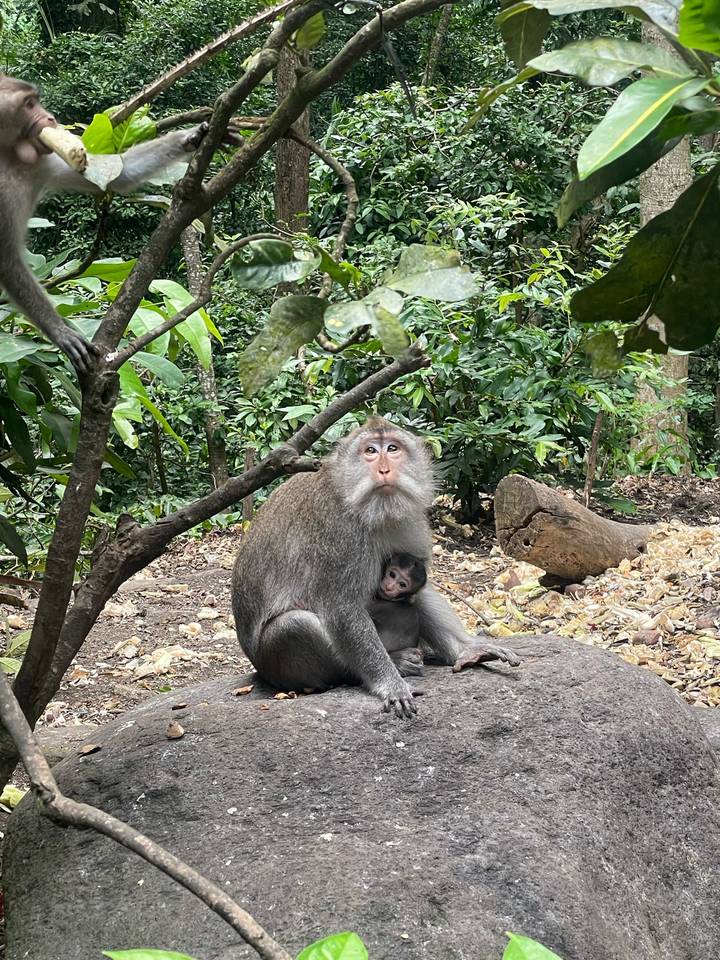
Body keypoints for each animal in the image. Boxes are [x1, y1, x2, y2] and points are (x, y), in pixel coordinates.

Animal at [0, 75, 207, 377]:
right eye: (28, 104)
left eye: (35, 100)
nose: (51, 118)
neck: (9, 158)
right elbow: (7, 260)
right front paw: (60, 332)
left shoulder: (44, 158)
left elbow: (114, 175)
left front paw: (192, 136)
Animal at [232, 417, 520, 718]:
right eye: (370, 451)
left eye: (392, 448)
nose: (384, 469)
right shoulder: (339, 534)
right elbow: (342, 609)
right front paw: (391, 684)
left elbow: (417, 581)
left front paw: (465, 649)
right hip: (277, 665)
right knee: (296, 624)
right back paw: (391, 663)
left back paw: (465, 651)